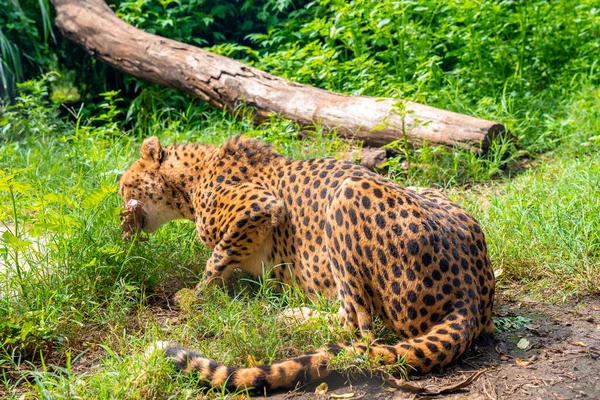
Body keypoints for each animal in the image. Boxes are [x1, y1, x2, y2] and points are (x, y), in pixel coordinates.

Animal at [119, 136, 494, 392]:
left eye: (124, 185)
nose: (120, 211)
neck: (190, 178)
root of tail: (471, 296)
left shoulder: (259, 208)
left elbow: (217, 258)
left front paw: (194, 296)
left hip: (347, 195)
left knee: (357, 325)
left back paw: (290, 315)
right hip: (429, 192)